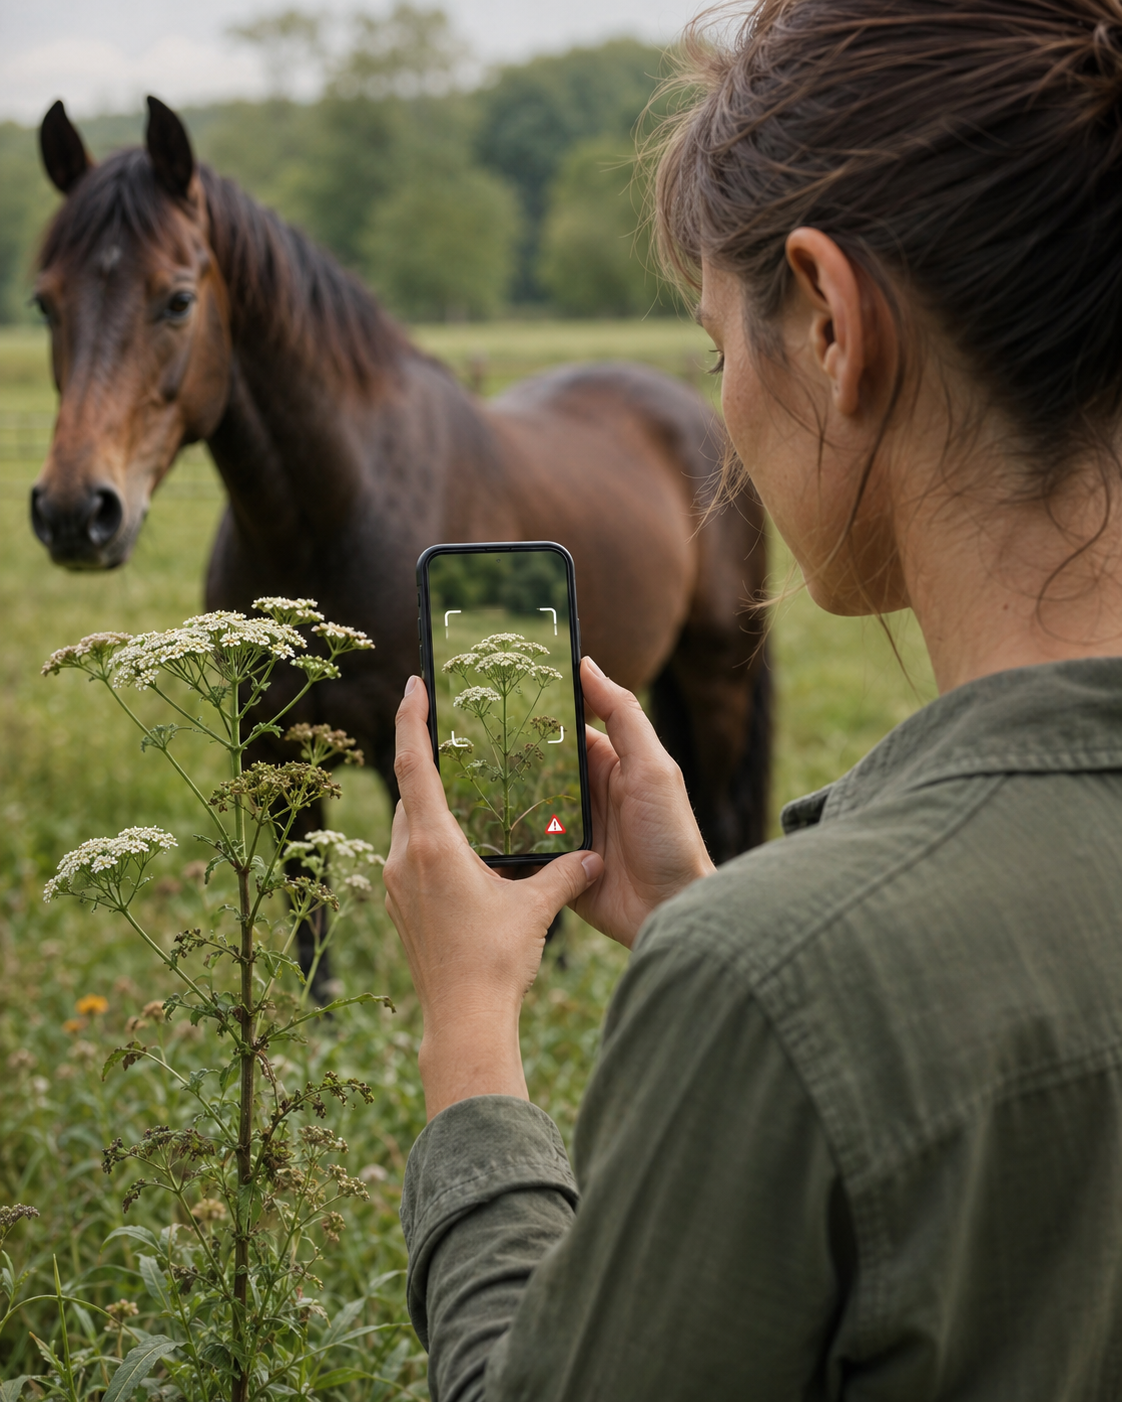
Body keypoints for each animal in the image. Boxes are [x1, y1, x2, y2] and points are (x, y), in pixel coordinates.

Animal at [29, 97, 771, 947]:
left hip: (718, 680)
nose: (74, 511)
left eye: (178, 299)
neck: (331, 517)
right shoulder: (277, 764)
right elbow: (310, 941)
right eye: (44, 303)